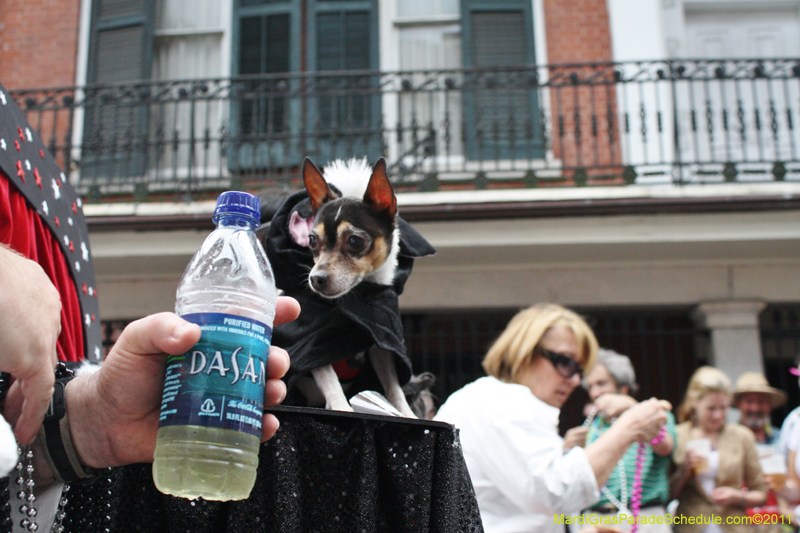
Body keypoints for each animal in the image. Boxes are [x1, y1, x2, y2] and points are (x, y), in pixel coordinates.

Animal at [278, 157, 418, 416]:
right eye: (312, 240)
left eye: (355, 241)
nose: (316, 278)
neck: (358, 294)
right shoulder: (313, 345)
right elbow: (330, 379)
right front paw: (342, 407)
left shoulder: (379, 345)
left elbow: (393, 385)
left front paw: (406, 413)